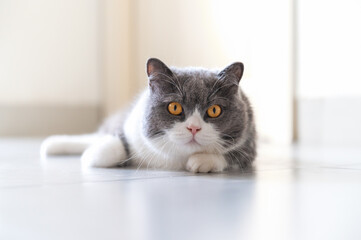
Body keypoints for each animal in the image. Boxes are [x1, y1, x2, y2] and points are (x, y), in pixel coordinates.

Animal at [41, 58, 256, 172]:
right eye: (175, 107)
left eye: (214, 110)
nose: (193, 128)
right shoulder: (130, 125)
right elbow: (115, 145)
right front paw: (93, 155)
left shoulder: (250, 140)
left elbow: (234, 156)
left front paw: (201, 161)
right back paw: (52, 144)